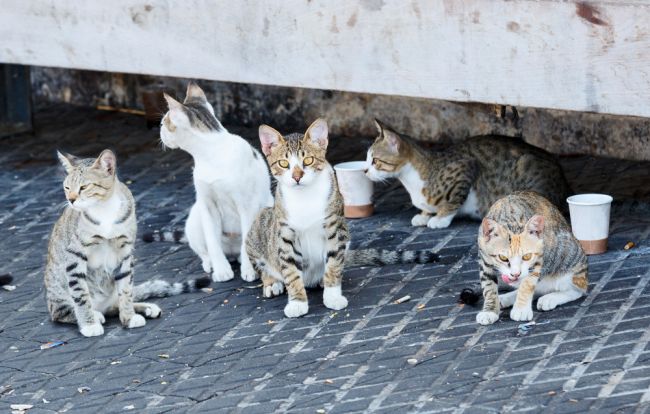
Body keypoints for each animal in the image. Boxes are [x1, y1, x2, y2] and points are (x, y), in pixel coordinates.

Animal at [45, 150, 208, 338]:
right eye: (67, 188)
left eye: (84, 187)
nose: (71, 200)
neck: (104, 209)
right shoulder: (75, 255)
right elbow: (80, 294)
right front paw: (89, 324)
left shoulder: (124, 251)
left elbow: (126, 289)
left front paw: (129, 317)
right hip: (58, 294)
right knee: (62, 311)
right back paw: (95, 315)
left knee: (114, 305)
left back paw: (144, 308)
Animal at [246, 118, 438, 318]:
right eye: (283, 163)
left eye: (308, 160)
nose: (297, 176)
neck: (305, 197)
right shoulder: (285, 235)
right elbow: (290, 271)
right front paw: (297, 302)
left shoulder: (335, 229)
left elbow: (333, 265)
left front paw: (332, 296)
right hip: (257, 227)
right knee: (263, 265)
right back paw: (272, 282)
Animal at [362, 119, 568, 230]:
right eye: (366, 159)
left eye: (375, 161)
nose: (365, 171)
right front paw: (424, 214)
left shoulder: (465, 168)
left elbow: (453, 200)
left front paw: (440, 219)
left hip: (525, 169)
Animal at [470, 192, 588, 326]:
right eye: (503, 257)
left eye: (527, 256)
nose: (515, 274)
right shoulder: (484, 259)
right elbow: (488, 286)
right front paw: (489, 310)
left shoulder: (538, 258)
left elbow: (527, 283)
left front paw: (521, 309)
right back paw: (506, 298)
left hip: (570, 257)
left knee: (577, 290)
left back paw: (550, 298)